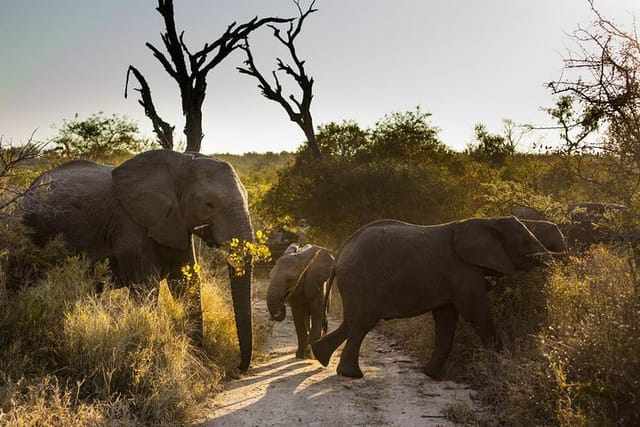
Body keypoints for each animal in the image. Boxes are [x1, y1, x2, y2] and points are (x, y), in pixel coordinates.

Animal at [310, 217, 552, 378]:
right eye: (527, 243)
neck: (491, 220)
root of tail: (340, 253)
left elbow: (446, 319)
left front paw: (431, 375)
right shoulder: (462, 270)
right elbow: (475, 312)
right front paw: (499, 365)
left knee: (352, 322)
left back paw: (320, 356)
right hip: (361, 279)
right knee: (362, 323)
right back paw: (351, 374)